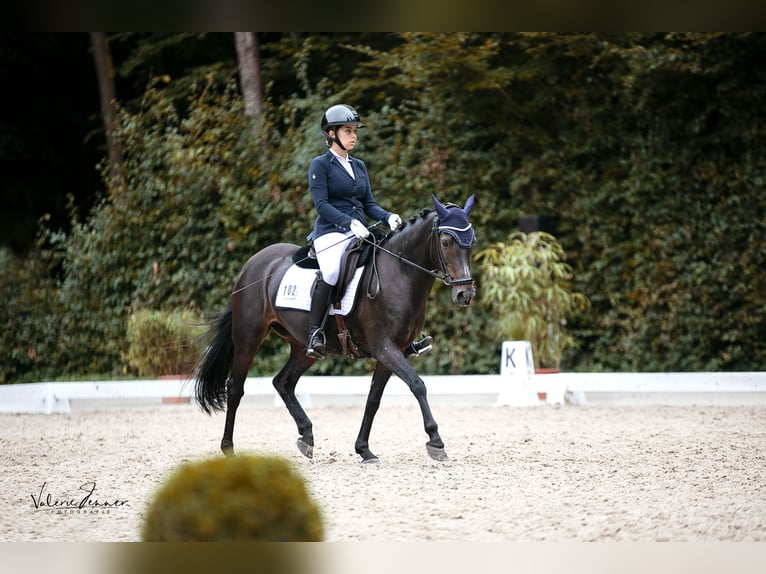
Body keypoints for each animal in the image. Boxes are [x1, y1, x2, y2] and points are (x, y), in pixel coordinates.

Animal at [194, 196, 474, 466]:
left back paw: (306, 436)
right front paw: (436, 441)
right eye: (446, 242)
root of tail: (251, 265)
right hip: (248, 338)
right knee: (235, 388)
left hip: (303, 347)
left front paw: (364, 449)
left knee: (283, 382)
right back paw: (229, 449)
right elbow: (418, 385)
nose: (465, 295)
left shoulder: (394, 351)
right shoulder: (384, 347)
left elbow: (373, 399)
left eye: (472, 242)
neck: (399, 273)